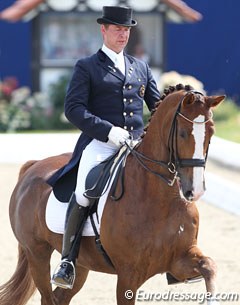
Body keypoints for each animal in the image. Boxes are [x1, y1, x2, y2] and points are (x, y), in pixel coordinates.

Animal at [0, 85, 225, 304]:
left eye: (211, 133)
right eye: (183, 133)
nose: (194, 190)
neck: (161, 198)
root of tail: (32, 166)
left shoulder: (179, 259)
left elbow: (210, 267)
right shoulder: (128, 274)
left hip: (81, 264)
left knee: (60, 297)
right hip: (36, 254)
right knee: (47, 296)